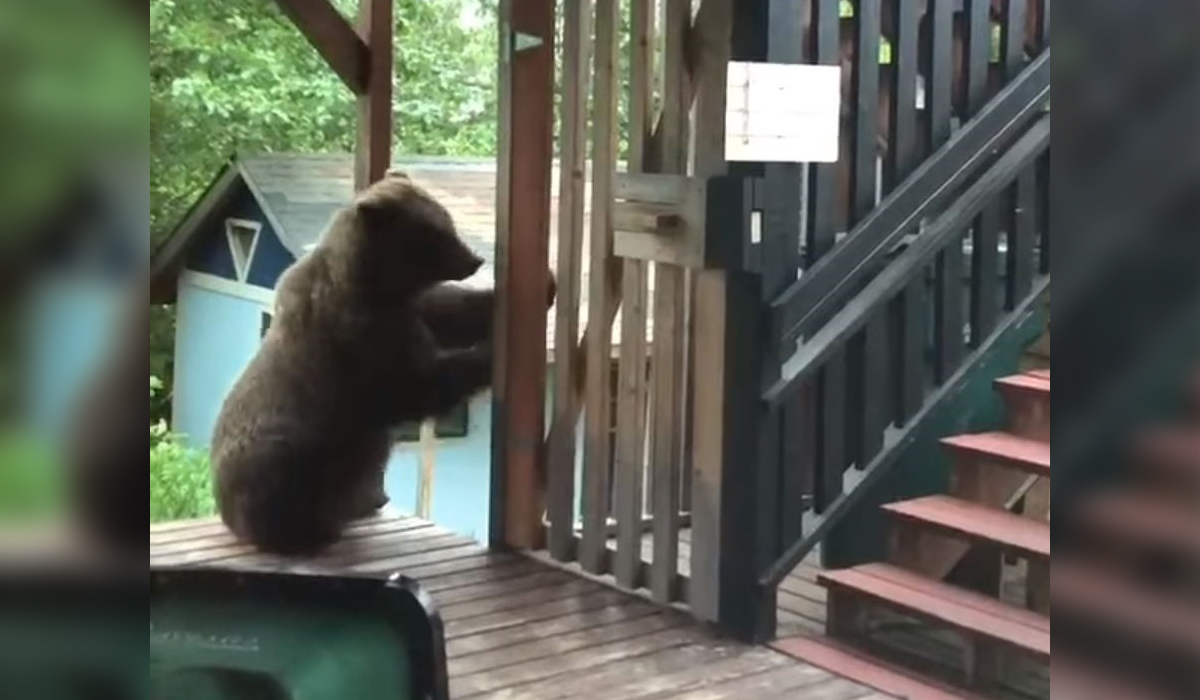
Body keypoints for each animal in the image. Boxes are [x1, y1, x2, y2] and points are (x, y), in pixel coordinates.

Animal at [211, 172, 501, 557]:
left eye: (447, 219)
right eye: (436, 234)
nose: (475, 258)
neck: (373, 285)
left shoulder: (408, 311)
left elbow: (448, 311)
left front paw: (538, 288)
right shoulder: (360, 341)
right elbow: (416, 385)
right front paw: (489, 351)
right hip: (288, 454)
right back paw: (310, 532)